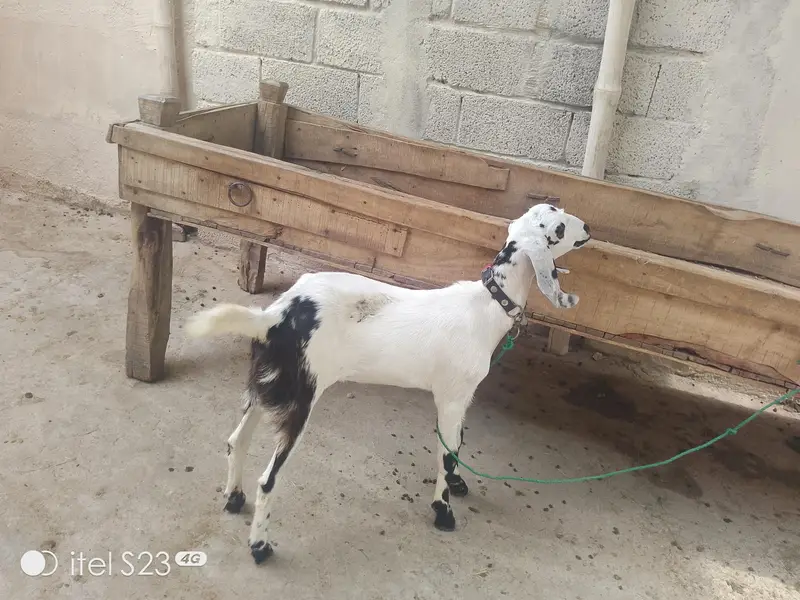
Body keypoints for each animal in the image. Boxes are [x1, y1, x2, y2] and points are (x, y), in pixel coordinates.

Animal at [186, 203, 591, 564]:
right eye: (558, 227)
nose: (587, 228)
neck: (485, 307)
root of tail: (274, 317)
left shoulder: (461, 398)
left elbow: (457, 443)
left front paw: (458, 487)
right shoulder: (451, 397)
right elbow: (446, 453)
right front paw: (443, 512)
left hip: (267, 385)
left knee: (236, 440)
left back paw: (233, 498)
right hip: (299, 399)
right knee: (268, 480)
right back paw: (259, 547)